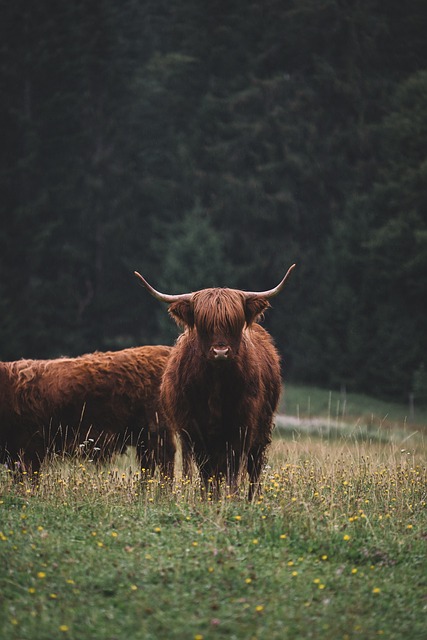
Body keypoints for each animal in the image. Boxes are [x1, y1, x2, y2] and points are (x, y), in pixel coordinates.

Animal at [0, 344, 175, 476]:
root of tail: (162, 351)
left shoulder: (29, 449)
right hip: (143, 438)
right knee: (149, 467)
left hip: (156, 431)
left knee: (165, 464)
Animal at [135, 262, 296, 498]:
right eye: (204, 324)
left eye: (234, 323)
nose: (221, 352)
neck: (216, 384)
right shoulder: (195, 428)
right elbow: (206, 469)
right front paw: (208, 497)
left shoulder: (242, 425)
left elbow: (233, 466)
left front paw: (231, 497)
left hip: (263, 425)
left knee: (254, 465)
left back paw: (252, 498)